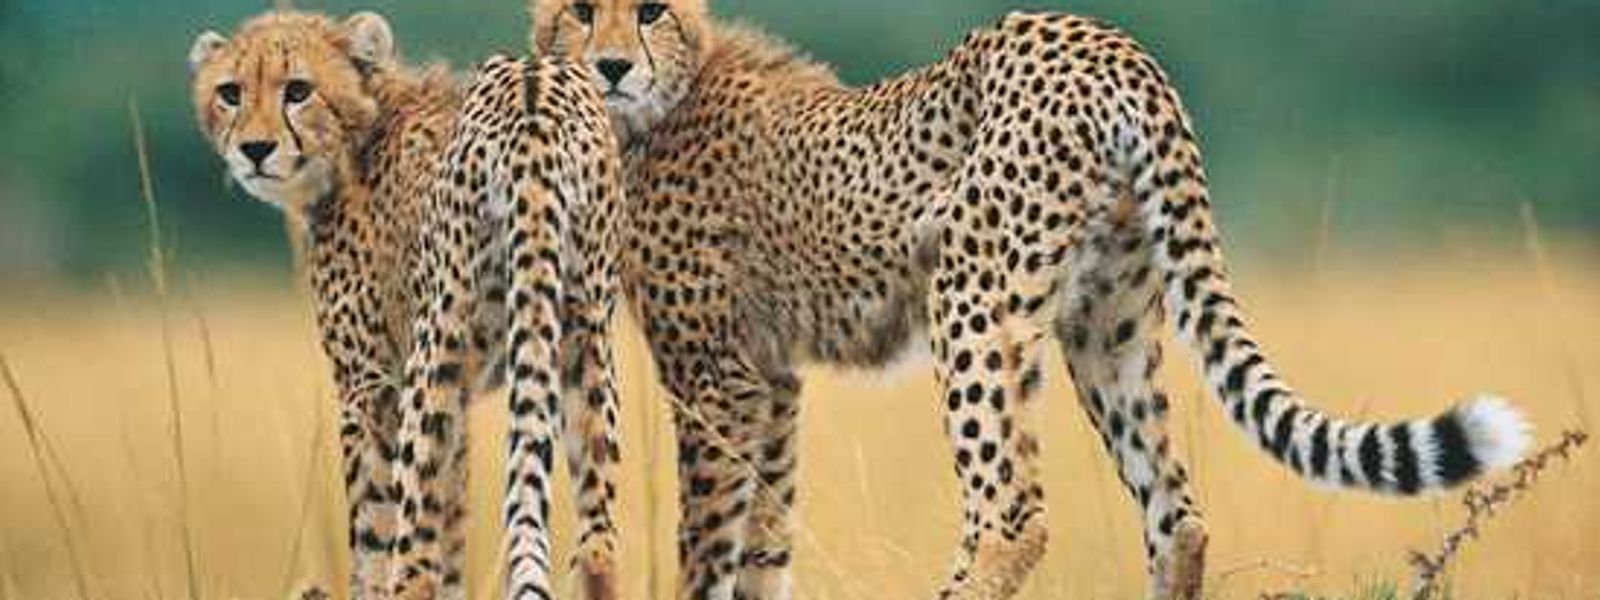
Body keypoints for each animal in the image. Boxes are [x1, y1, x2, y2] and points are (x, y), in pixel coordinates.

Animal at [189, 10, 628, 600]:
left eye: (298, 90)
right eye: (231, 92)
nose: (254, 150)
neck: (359, 137)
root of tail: (531, 88)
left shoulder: (370, 386)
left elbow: (376, 531)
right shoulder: (461, 396)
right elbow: (453, 529)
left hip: (435, 345)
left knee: (412, 556)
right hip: (583, 343)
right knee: (599, 546)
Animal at [530, 2, 1536, 600]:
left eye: (649, 9)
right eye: (580, 10)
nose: (611, 66)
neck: (664, 102)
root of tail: (1111, 43)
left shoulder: (718, 377)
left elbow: (711, 543)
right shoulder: (770, 378)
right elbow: (764, 542)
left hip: (970, 295)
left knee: (1011, 515)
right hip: (1109, 326)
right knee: (1176, 516)